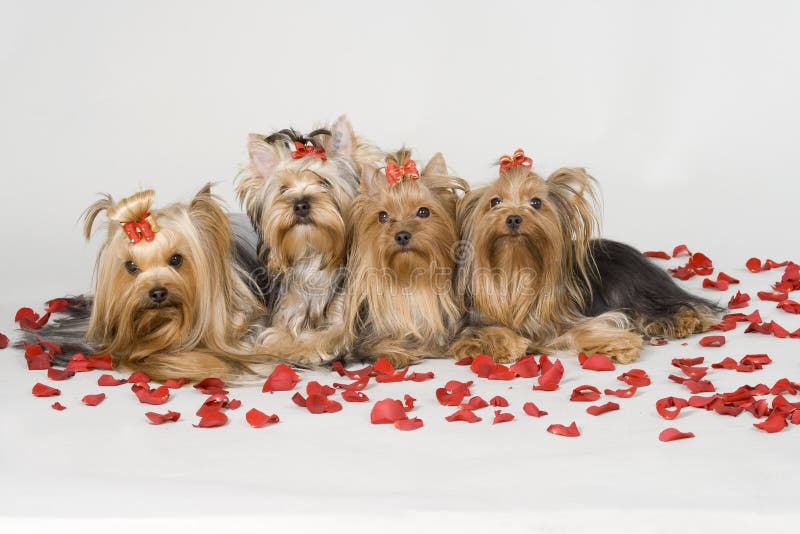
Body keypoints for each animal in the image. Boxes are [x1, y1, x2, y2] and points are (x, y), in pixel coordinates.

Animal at [234, 115, 382, 366]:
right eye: (284, 189)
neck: (314, 252)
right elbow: (275, 333)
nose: (300, 204)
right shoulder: (288, 308)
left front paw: (299, 347)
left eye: (324, 183)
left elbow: (325, 336)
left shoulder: (343, 319)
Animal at [450, 150, 720, 364]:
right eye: (495, 202)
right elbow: (484, 330)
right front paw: (504, 344)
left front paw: (621, 345)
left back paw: (685, 321)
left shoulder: (570, 318)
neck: (516, 266)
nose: (514, 218)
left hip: (636, 291)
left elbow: (586, 328)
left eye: (536, 202)